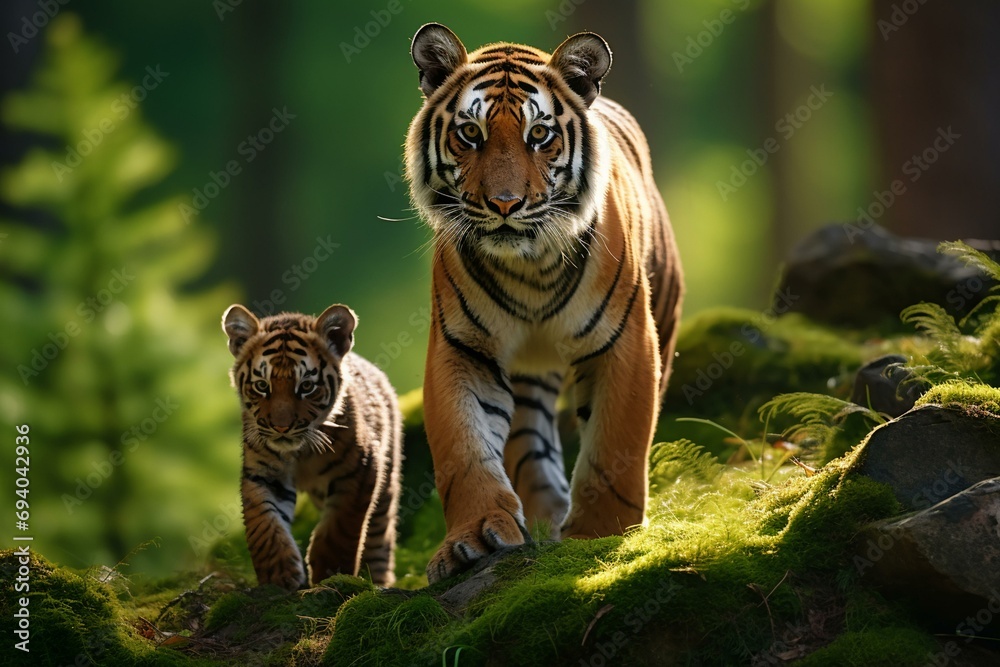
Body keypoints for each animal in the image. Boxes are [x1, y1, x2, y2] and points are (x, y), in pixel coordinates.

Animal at [222, 303, 402, 590]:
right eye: (262, 385)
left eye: (306, 386)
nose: (281, 427)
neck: (299, 453)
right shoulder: (262, 473)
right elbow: (263, 523)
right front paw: (280, 575)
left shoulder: (359, 471)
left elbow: (340, 526)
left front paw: (330, 572)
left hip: (386, 485)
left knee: (379, 537)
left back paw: (377, 582)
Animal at [405, 24, 684, 583]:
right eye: (470, 134)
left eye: (539, 135)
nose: (505, 204)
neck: (528, 267)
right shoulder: (462, 346)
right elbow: (464, 450)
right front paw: (476, 537)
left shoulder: (625, 342)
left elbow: (614, 447)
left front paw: (600, 537)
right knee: (528, 446)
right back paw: (541, 516)